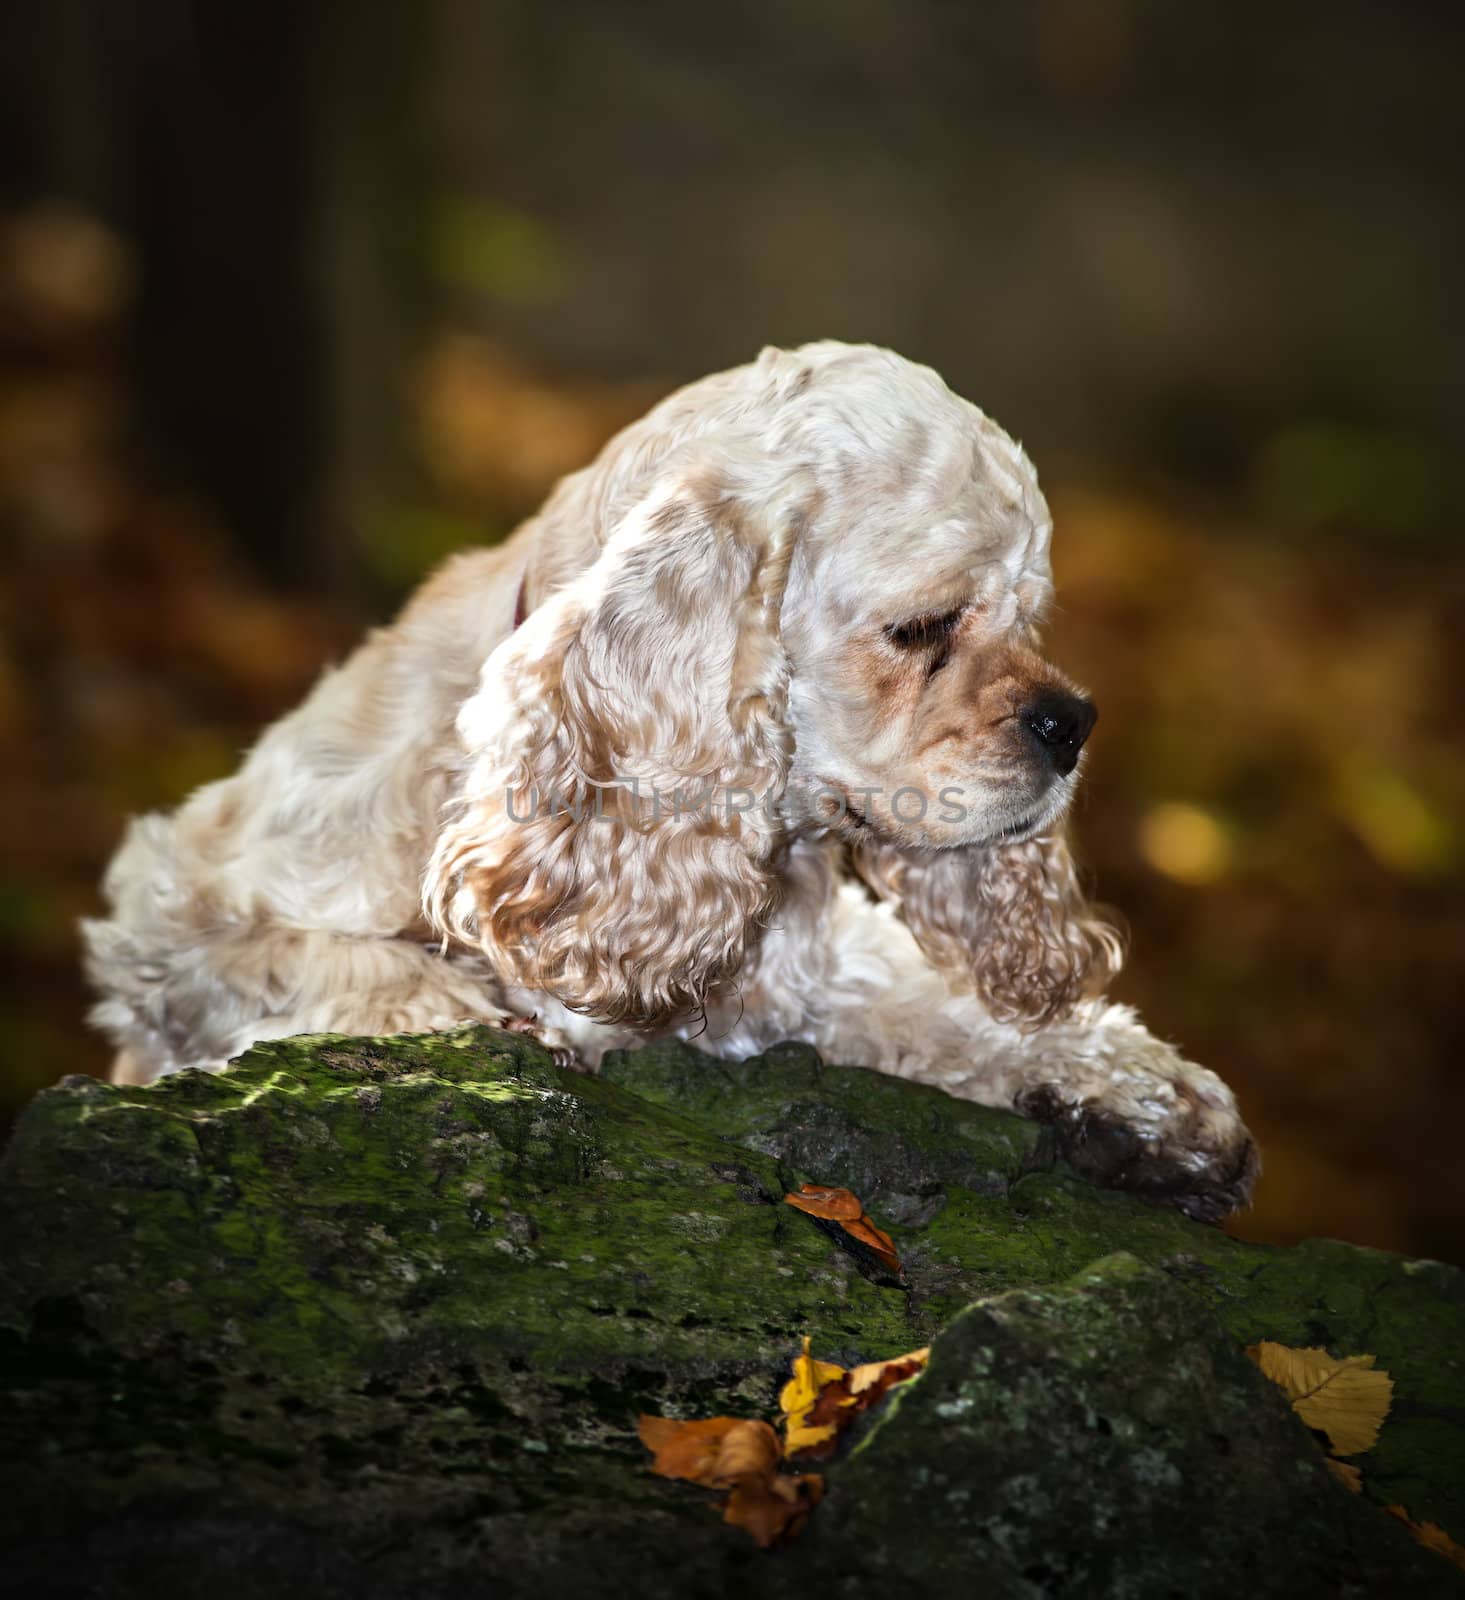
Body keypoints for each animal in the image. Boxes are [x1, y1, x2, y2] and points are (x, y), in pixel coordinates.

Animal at [79, 337, 1253, 1209]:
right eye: (921, 627)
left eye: (1030, 618)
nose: (1072, 722)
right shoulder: (172, 913)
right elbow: (338, 965)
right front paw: (484, 1016)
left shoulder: (789, 985)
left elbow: (918, 1005)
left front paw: (1134, 1093)